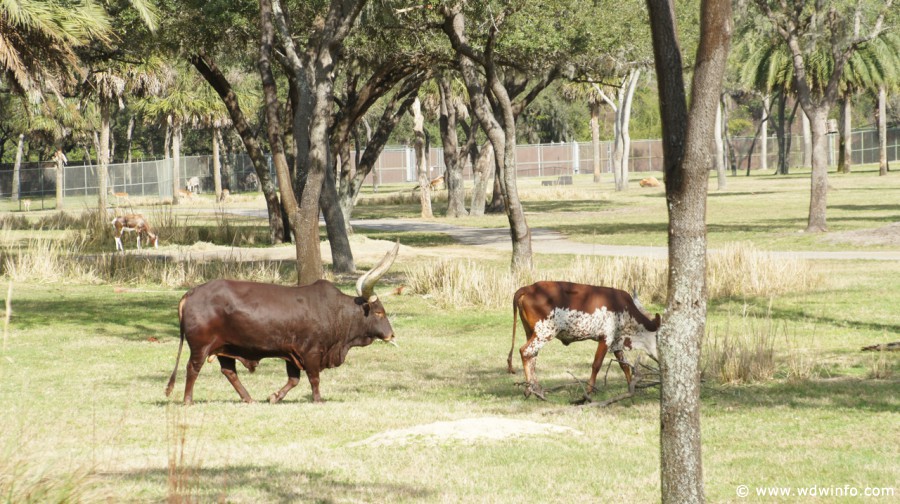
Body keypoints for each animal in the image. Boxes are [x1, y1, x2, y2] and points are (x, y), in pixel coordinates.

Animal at [167, 242, 400, 404]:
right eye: (379, 312)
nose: (391, 335)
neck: (336, 312)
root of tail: (191, 293)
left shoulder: (291, 353)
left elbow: (294, 379)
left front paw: (274, 396)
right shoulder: (311, 352)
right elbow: (314, 378)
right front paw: (318, 400)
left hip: (226, 347)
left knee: (229, 371)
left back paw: (249, 399)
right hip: (201, 346)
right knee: (193, 368)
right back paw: (188, 400)